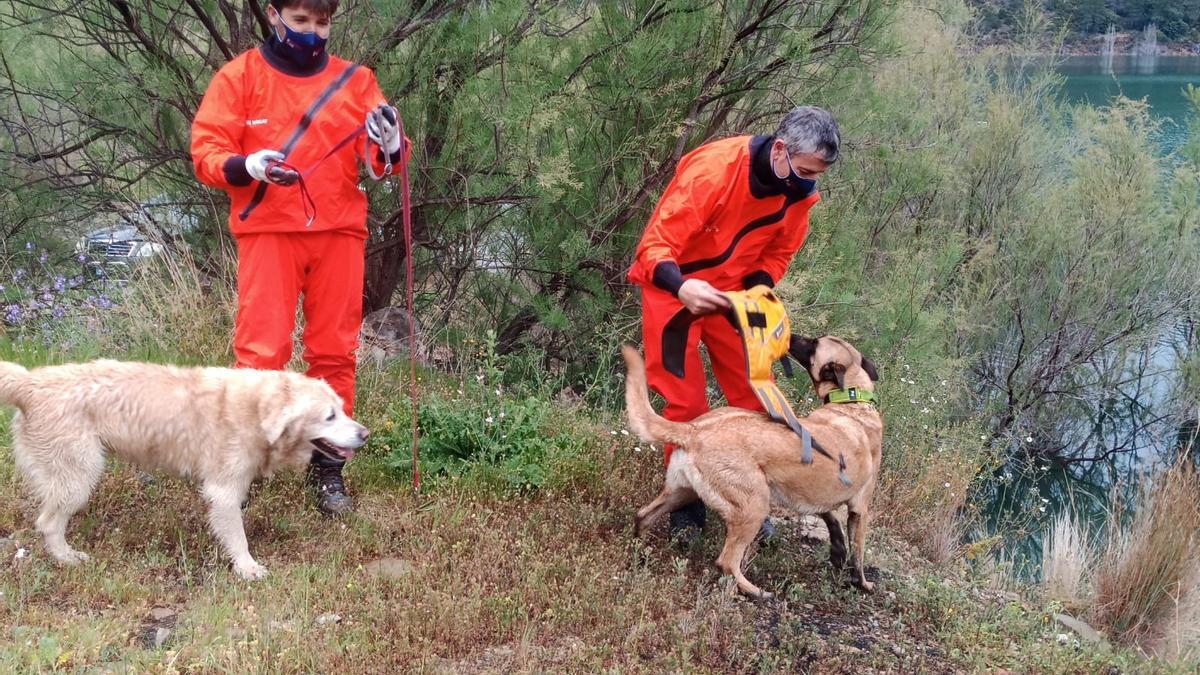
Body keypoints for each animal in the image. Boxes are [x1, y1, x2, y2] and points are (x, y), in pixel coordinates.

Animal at [628, 333, 883, 593]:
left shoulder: (818, 496)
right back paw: (755, 592)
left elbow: (833, 524)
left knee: (642, 516)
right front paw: (862, 583)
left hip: (682, 493)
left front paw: (838, 555)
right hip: (754, 507)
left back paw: (640, 553)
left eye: (812, 344)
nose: (790, 336)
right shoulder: (860, 509)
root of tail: (693, 430)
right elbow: (858, 555)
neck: (850, 402)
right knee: (727, 561)